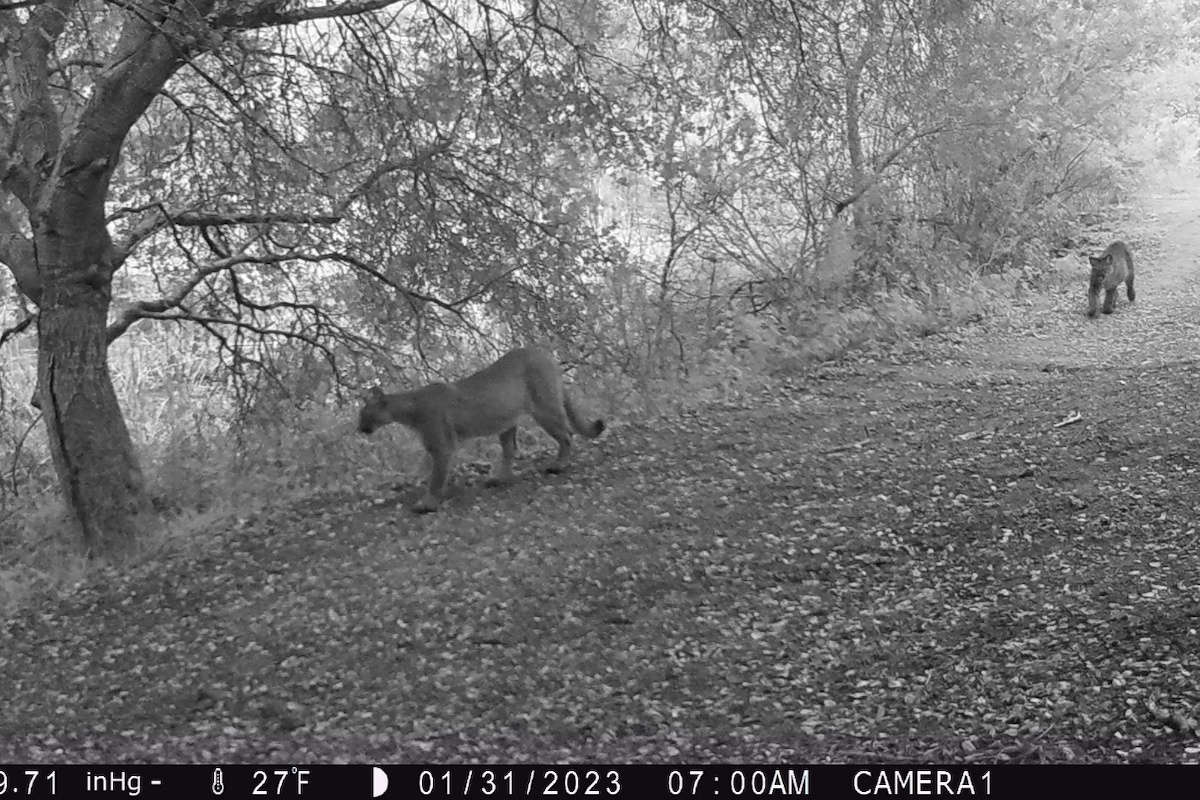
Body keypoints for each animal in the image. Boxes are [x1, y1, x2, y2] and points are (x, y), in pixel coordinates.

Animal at [352, 347, 600, 513]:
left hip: (544, 408)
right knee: (510, 450)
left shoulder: (441, 445)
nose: (359, 427)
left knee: (567, 435)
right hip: (506, 421)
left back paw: (558, 466)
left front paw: (428, 503)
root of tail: (546, 354)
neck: (410, 408)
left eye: (364, 414)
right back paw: (499, 479)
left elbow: (435, 477)